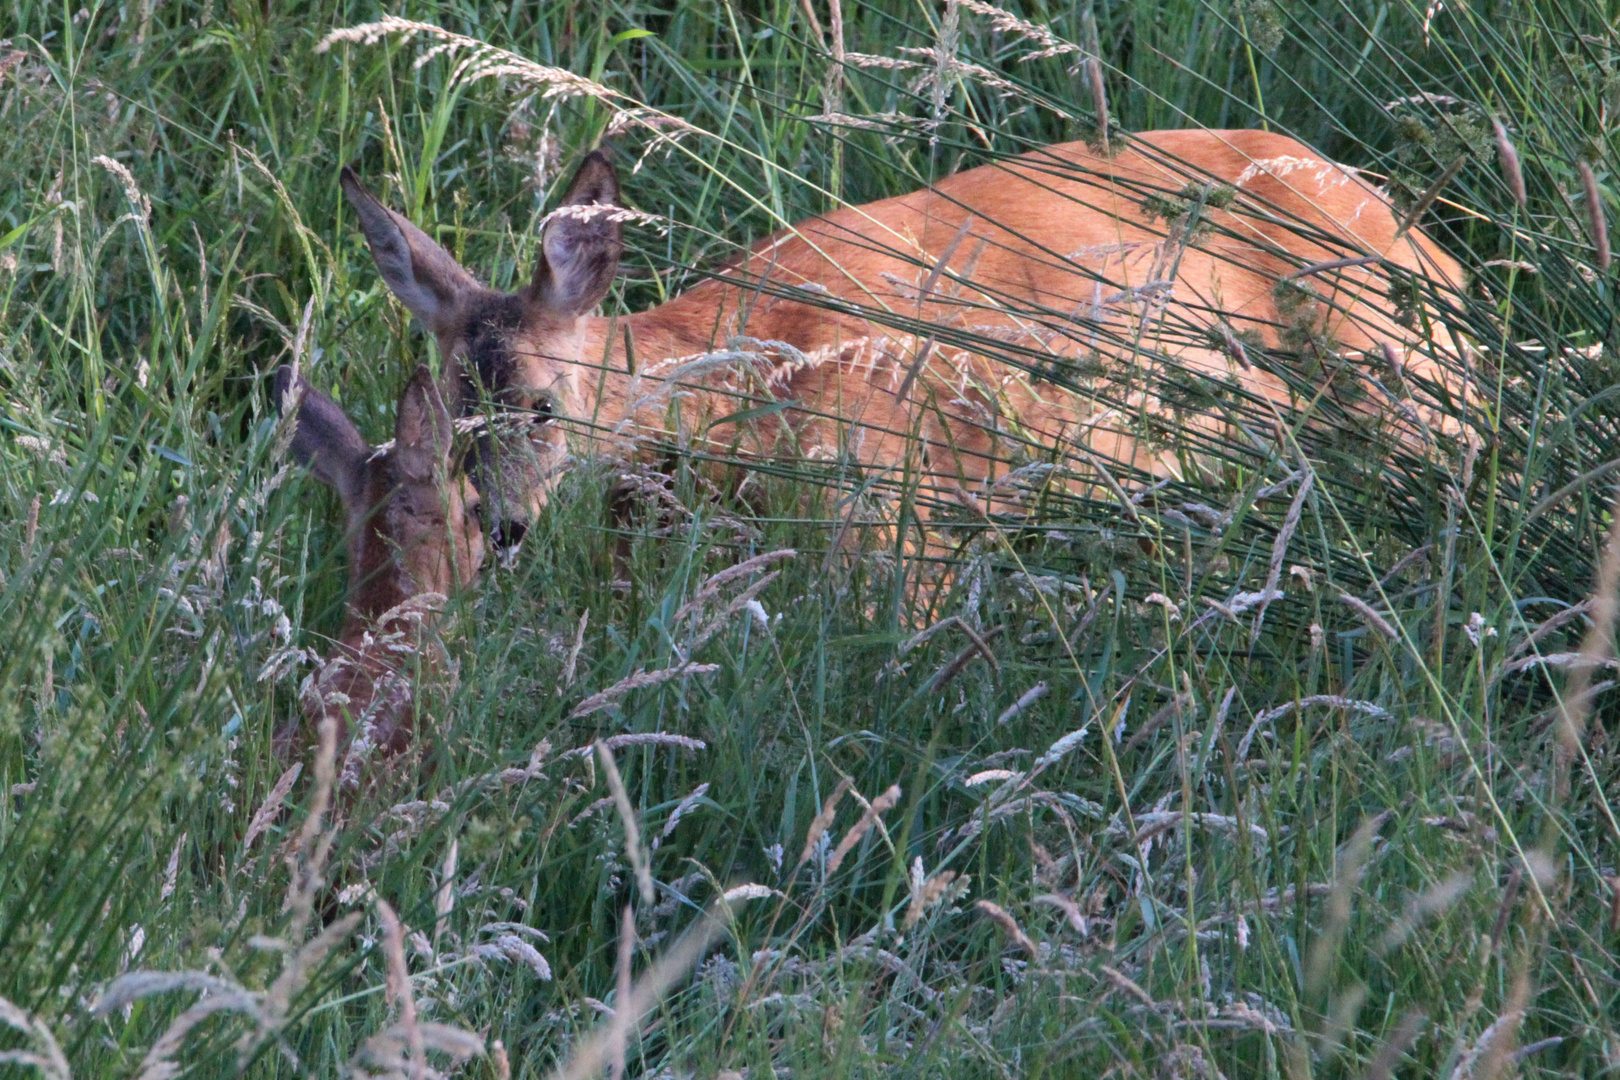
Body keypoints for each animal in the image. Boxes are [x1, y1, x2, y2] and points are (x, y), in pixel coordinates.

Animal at [341, 128, 1483, 550]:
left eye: (544, 405)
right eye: (451, 415)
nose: (498, 527)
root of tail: (1431, 251)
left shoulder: (896, 510)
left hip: (1401, 384)